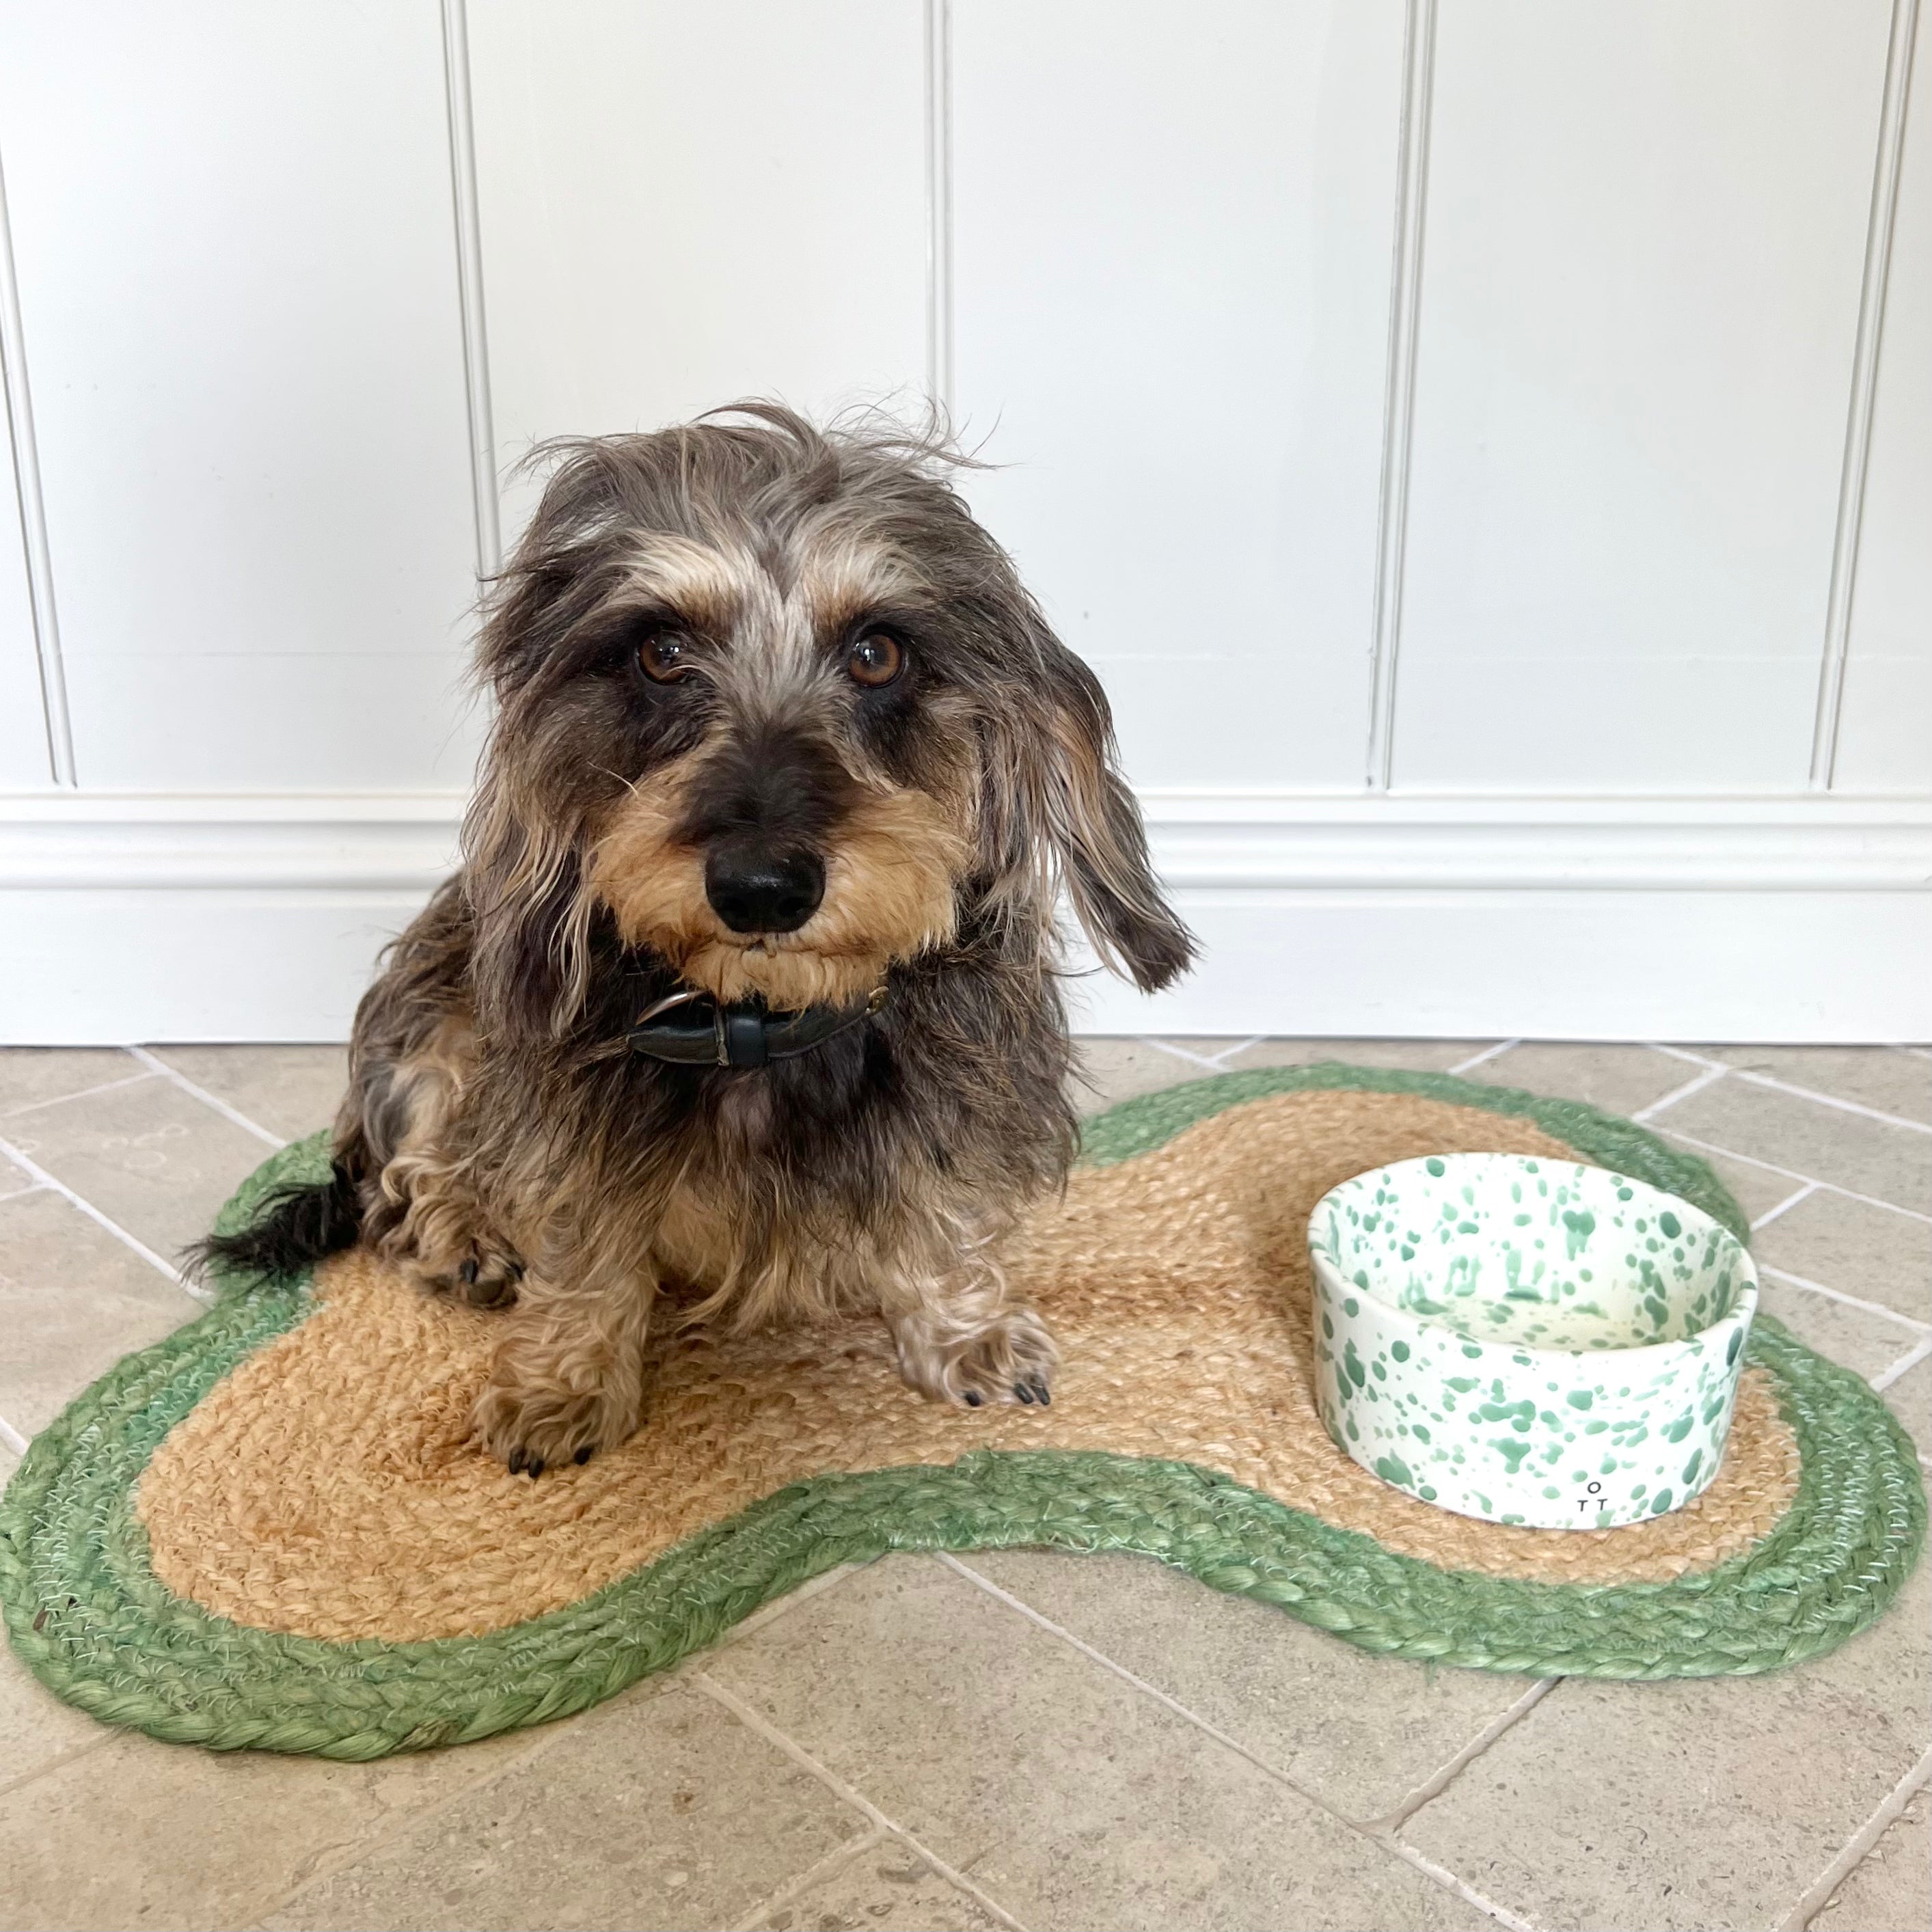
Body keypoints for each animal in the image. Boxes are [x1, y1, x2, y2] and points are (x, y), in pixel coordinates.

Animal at [200, 400, 1190, 1468]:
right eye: (661, 653)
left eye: (878, 653)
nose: (761, 887)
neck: (762, 1016)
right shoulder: (566, 1117)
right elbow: (580, 1246)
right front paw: (563, 1382)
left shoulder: (959, 1094)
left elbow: (945, 1211)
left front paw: (965, 1329)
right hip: (432, 1014)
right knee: (409, 1163)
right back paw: (462, 1231)